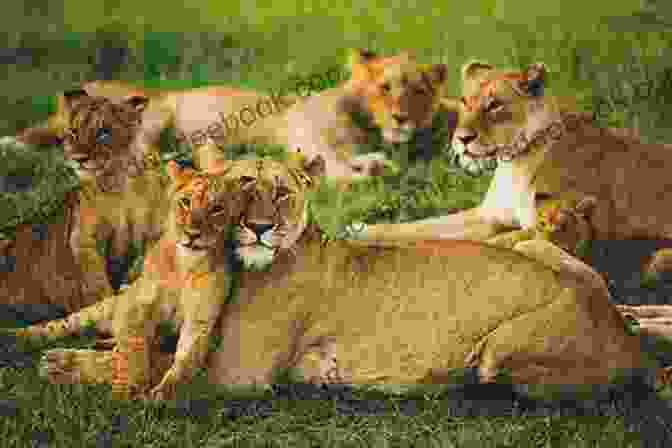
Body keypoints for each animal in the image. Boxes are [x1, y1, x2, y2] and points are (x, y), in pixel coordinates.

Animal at [9, 153, 326, 400]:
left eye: (217, 209)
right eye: (185, 202)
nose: (192, 233)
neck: (186, 266)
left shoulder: (201, 322)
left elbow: (183, 359)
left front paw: (163, 394)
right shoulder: (137, 306)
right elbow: (135, 348)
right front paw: (127, 388)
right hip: (106, 305)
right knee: (65, 324)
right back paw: (18, 339)